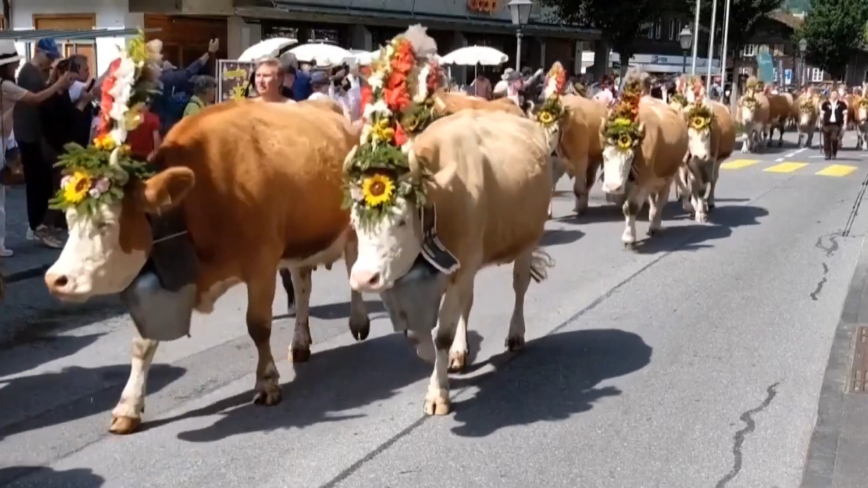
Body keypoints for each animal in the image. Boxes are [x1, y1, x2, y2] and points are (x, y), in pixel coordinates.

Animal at [44, 100, 370, 434]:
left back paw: (358, 322)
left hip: (354, 223)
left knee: (353, 267)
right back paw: (300, 343)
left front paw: (266, 382)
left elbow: (258, 325)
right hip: (300, 241)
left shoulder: (262, 262)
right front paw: (128, 407)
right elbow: (143, 342)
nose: (55, 279)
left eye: (106, 223)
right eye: (69, 220)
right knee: (303, 285)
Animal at [344, 108, 552, 414]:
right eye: (355, 222)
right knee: (468, 302)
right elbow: (418, 335)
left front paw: (437, 393)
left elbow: (441, 333)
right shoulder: (415, 278)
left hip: (527, 239)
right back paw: (458, 351)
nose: (362, 278)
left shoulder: (461, 268)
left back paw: (515, 335)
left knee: (519, 286)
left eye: (401, 220)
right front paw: (436, 360)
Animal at [600, 71, 688, 248]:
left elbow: (631, 207)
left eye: (629, 158)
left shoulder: (643, 181)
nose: (613, 187)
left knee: (661, 200)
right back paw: (653, 218)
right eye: (605, 156)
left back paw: (655, 224)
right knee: (653, 200)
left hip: (667, 175)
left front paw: (629, 237)